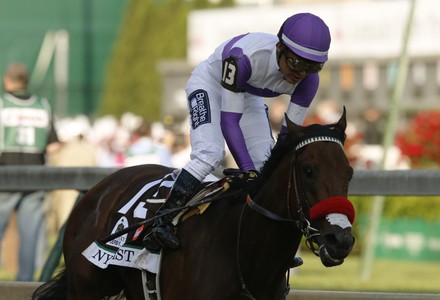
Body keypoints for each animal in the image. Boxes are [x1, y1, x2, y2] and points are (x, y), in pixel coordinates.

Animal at [32, 109, 356, 300]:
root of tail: (101, 187)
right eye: (308, 171)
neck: (241, 250)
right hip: (87, 288)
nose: (340, 239)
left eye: (349, 173)